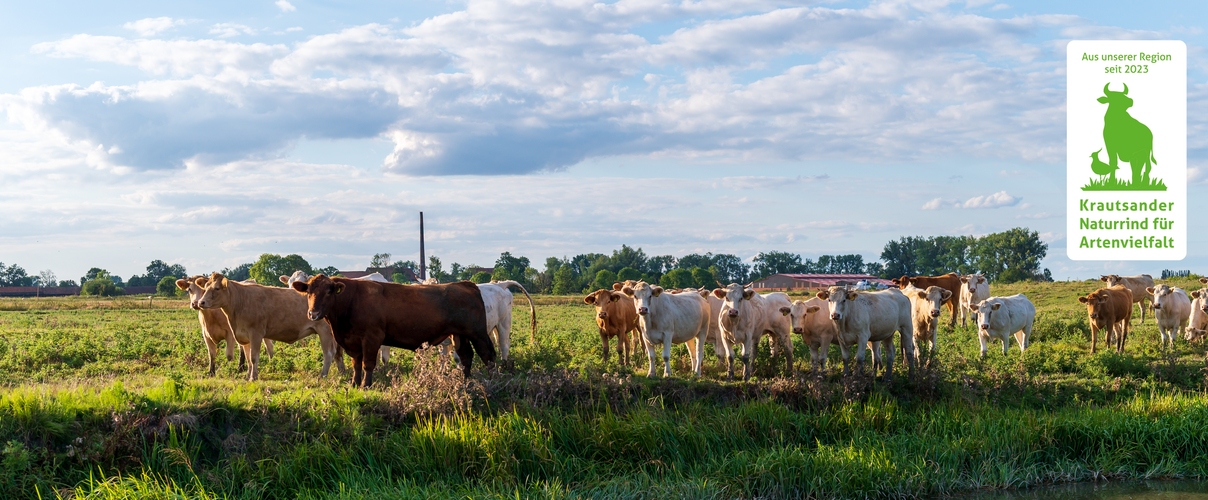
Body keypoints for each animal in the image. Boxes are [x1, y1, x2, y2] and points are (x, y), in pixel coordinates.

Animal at [195, 272, 343, 379]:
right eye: (205, 287)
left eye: (216, 288)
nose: (201, 302)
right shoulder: (243, 336)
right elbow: (248, 358)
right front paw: (247, 376)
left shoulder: (256, 333)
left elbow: (254, 357)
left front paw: (253, 378)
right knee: (338, 354)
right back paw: (343, 374)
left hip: (325, 331)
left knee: (328, 353)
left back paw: (322, 376)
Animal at [292, 272, 495, 386]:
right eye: (308, 292)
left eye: (328, 292)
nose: (313, 313)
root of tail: (466, 284)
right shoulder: (353, 341)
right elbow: (356, 365)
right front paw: (354, 384)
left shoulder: (372, 338)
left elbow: (368, 364)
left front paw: (366, 385)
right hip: (460, 335)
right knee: (466, 356)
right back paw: (466, 381)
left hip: (477, 333)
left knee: (488, 355)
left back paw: (493, 380)